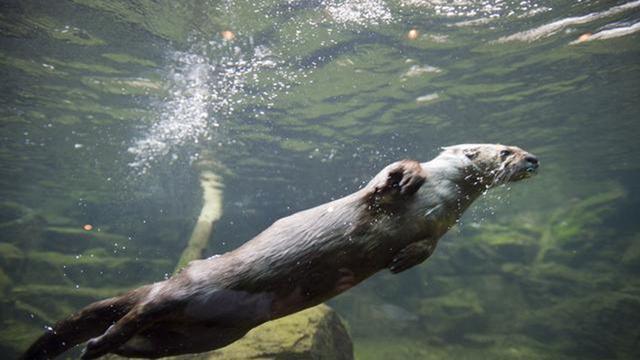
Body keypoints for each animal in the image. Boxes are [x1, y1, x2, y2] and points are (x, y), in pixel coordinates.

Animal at [21, 142, 540, 358]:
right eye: (506, 150)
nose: (534, 159)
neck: (444, 193)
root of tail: (176, 276)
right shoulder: (389, 193)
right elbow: (386, 181)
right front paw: (404, 176)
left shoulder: (441, 225)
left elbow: (429, 245)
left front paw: (404, 260)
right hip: (187, 291)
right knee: (135, 313)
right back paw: (96, 344)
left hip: (205, 336)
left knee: (145, 341)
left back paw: (101, 349)